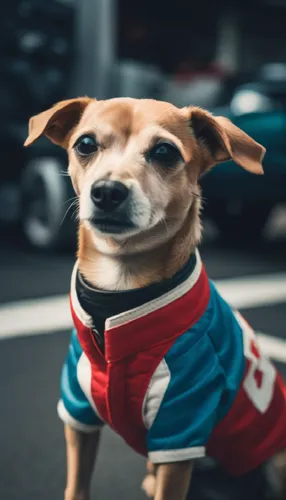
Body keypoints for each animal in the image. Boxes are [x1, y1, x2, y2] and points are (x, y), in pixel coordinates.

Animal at [25, 95, 286, 498]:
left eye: (165, 151)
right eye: (85, 144)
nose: (107, 191)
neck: (120, 289)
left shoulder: (179, 433)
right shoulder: (78, 412)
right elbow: (76, 485)